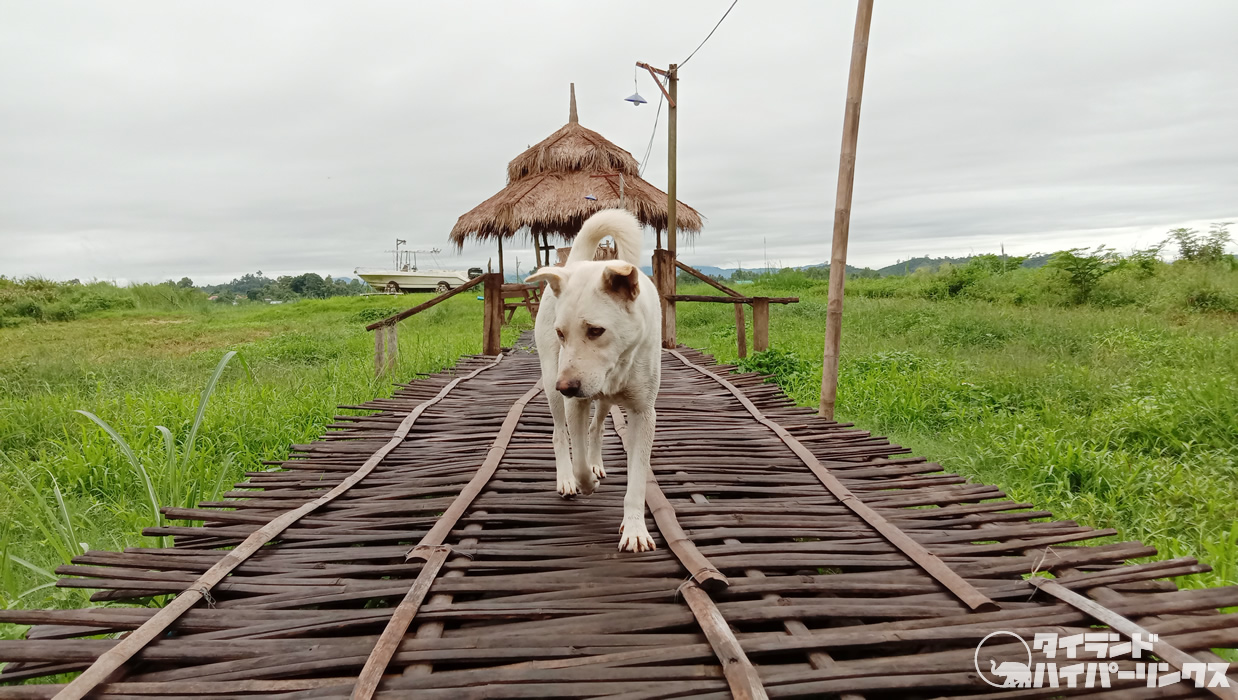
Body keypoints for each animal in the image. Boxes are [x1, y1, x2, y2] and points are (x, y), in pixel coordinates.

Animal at [525, 209, 661, 552]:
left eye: (596, 330)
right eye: (562, 333)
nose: (566, 387)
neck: (617, 367)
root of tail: (577, 263)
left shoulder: (644, 413)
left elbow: (636, 479)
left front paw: (635, 529)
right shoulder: (576, 402)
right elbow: (579, 461)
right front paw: (585, 482)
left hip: (600, 400)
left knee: (596, 428)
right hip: (552, 383)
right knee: (560, 435)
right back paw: (567, 479)